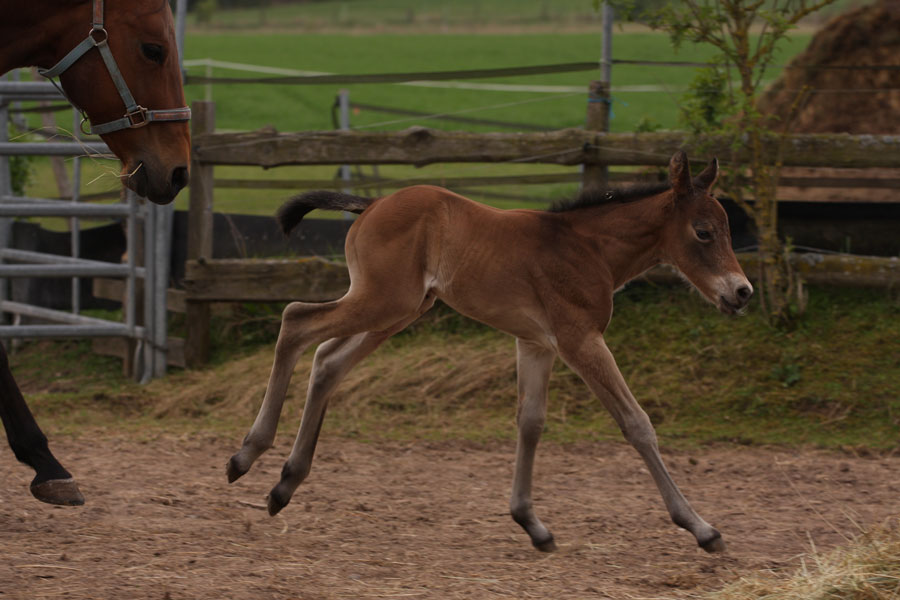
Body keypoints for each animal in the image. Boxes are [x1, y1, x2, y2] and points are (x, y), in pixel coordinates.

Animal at [227, 151, 752, 552]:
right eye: (704, 232)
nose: (742, 292)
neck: (588, 248)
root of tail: (373, 203)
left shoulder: (537, 343)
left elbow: (531, 422)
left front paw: (531, 524)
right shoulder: (581, 339)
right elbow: (637, 424)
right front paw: (701, 528)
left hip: (399, 310)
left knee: (327, 360)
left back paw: (284, 484)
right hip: (382, 301)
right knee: (296, 321)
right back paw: (246, 454)